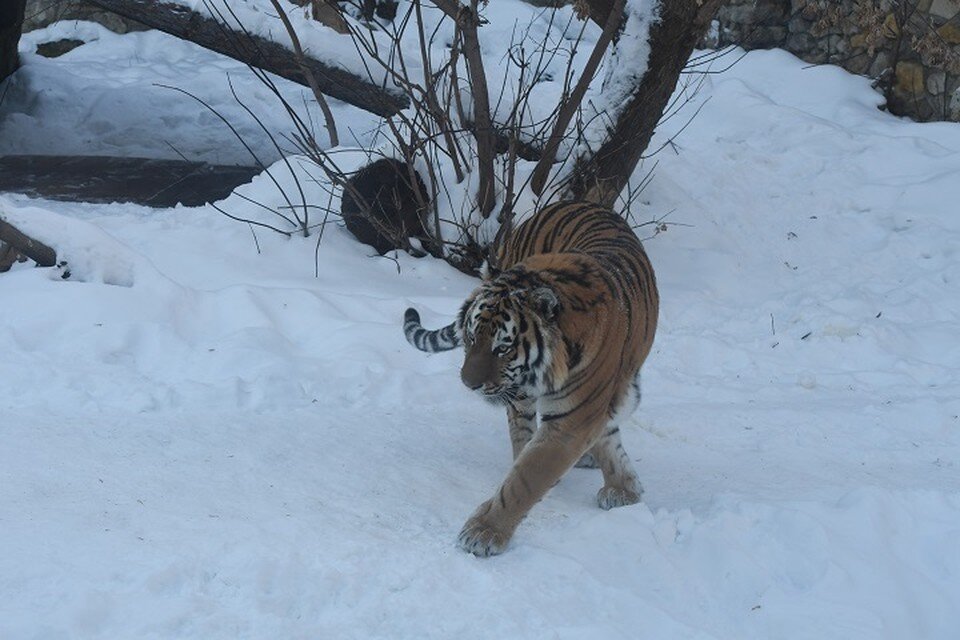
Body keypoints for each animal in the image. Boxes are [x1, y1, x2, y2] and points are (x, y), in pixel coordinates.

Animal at [402, 200, 656, 556]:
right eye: (470, 338)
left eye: (502, 348)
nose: (469, 384)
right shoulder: (575, 418)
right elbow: (525, 476)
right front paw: (485, 532)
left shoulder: (578, 416)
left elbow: (527, 478)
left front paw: (624, 490)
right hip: (519, 392)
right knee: (520, 431)